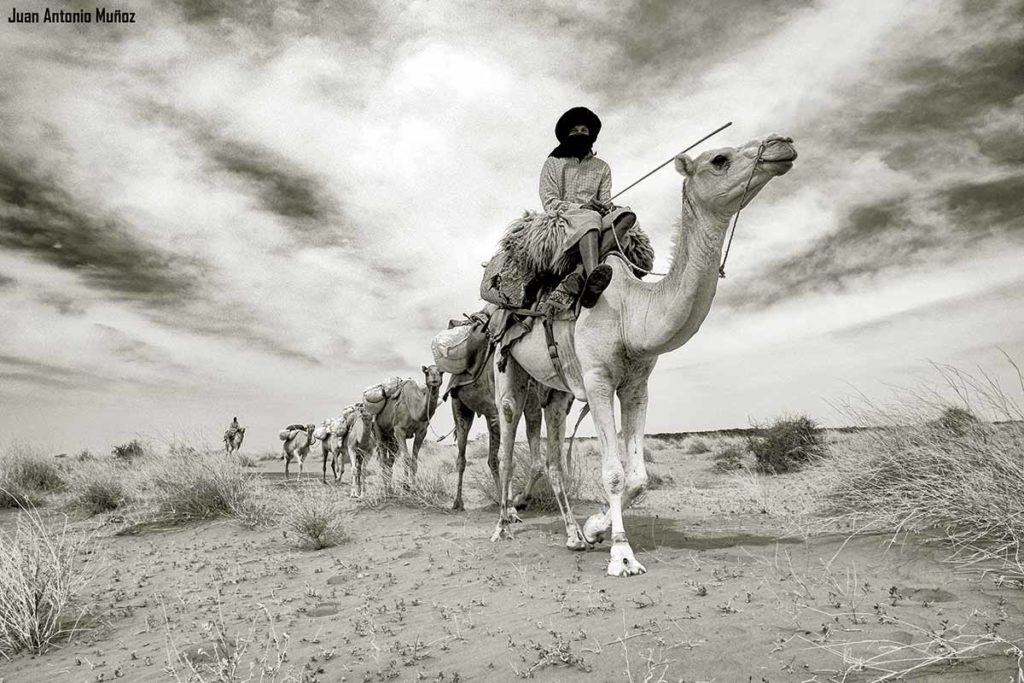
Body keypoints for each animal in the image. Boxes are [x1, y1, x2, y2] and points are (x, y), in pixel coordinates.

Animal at [491, 129, 794, 577]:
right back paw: (502, 527)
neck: (631, 312)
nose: (781, 143)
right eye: (719, 159)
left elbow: (638, 477)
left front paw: (595, 528)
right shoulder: (598, 380)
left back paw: (573, 536)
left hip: (557, 389)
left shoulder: (636, 385)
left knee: (554, 457)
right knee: (507, 440)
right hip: (507, 363)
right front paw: (622, 555)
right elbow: (614, 474)